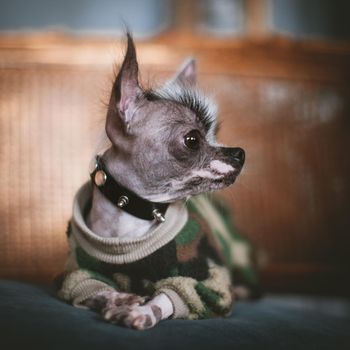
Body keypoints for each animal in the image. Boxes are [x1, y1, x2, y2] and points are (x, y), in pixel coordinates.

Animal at [57, 34, 260, 330]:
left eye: (215, 133)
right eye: (192, 140)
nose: (240, 153)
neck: (131, 216)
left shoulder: (209, 284)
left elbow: (168, 296)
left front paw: (142, 311)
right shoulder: (77, 275)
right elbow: (98, 290)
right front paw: (120, 299)